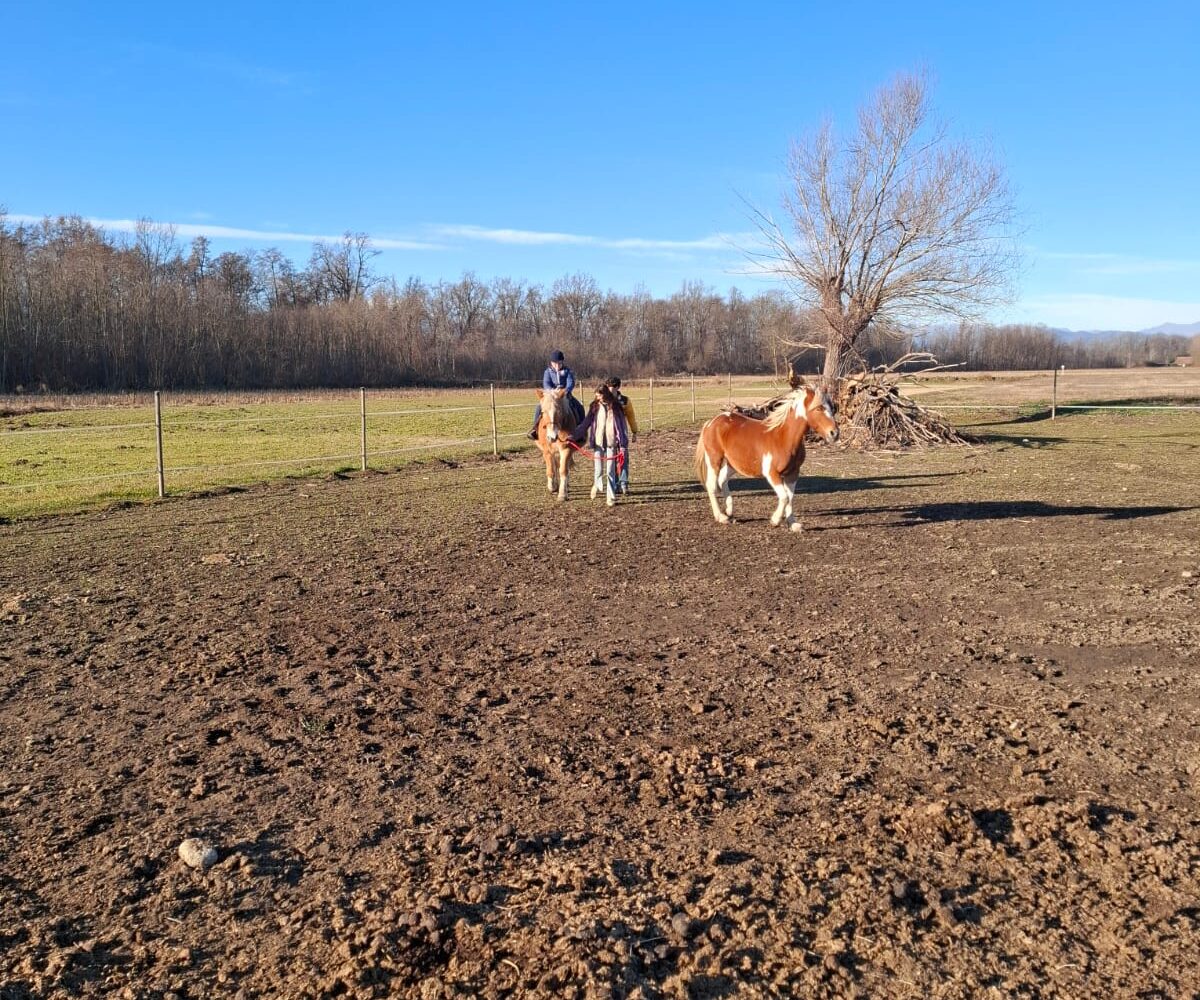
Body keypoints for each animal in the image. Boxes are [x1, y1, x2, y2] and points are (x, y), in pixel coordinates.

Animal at [691, 384, 840, 530]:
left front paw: (792, 524)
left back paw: (729, 513)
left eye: (833, 408)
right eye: (819, 408)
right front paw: (775, 520)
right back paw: (721, 517)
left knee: (722, 480)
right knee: (711, 485)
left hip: (732, 464)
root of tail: (711, 422)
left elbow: (790, 497)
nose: (834, 433)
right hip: (714, 460)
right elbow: (785, 497)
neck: (783, 437)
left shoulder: (793, 473)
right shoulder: (771, 473)